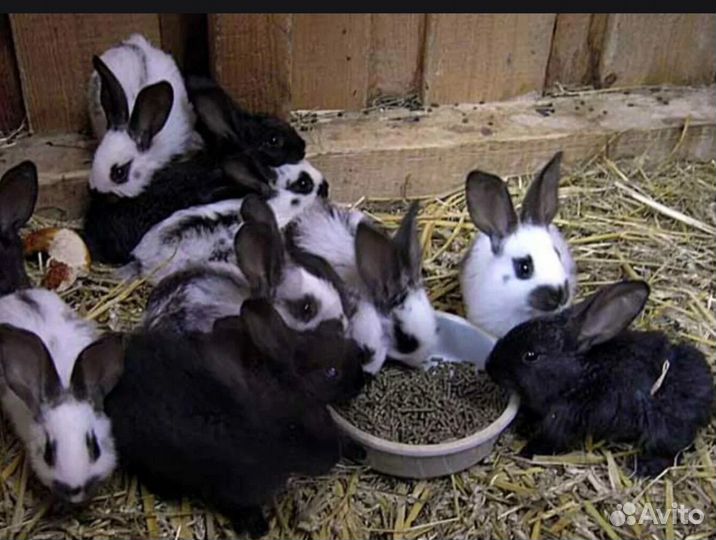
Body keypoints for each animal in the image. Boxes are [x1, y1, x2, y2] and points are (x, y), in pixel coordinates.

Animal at [485, 280, 715, 477]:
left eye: (531, 355)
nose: (489, 366)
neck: (580, 376)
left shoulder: (563, 419)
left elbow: (550, 440)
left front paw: (526, 451)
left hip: (664, 428)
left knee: (672, 451)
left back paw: (643, 467)